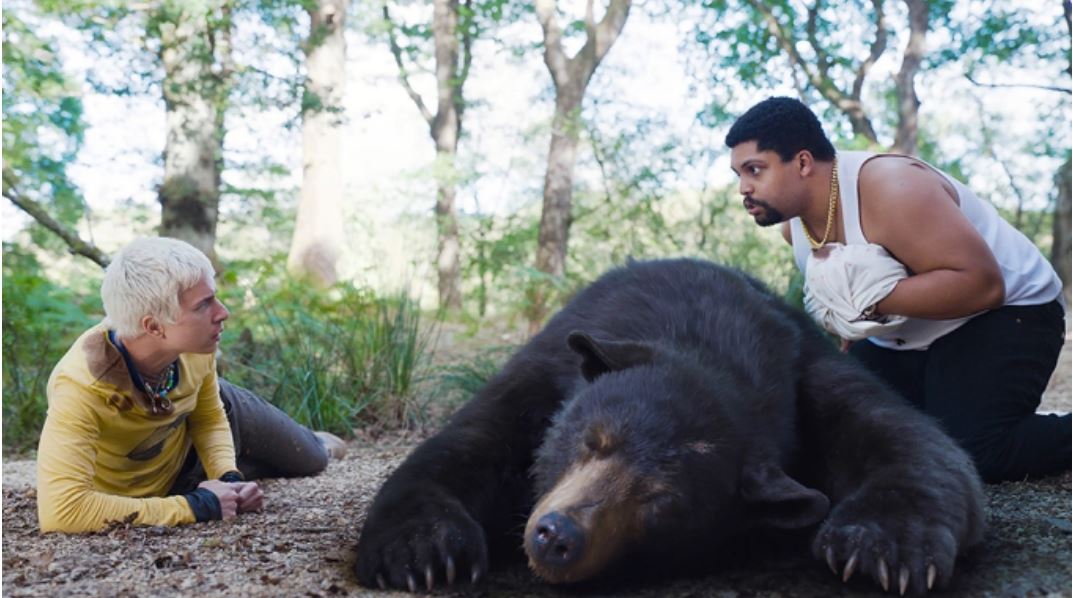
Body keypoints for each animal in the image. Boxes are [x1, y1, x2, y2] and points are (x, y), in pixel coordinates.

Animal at [356, 258, 982, 592]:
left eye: (660, 499)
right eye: (592, 442)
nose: (557, 536)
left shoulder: (809, 368)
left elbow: (914, 443)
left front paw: (882, 547)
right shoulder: (549, 366)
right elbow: (469, 444)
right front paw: (424, 551)